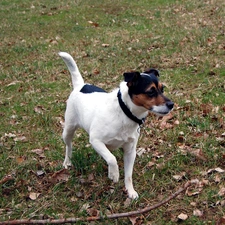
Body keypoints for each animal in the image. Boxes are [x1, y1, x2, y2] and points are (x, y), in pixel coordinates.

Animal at [58, 52, 174, 199]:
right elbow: (112, 159)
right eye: (150, 91)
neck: (125, 112)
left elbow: (128, 175)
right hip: (68, 129)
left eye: (162, 89)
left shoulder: (130, 151)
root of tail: (80, 85)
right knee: (69, 146)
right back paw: (67, 161)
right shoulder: (95, 140)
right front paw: (114, 174)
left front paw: (130, 192)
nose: (171, 105)